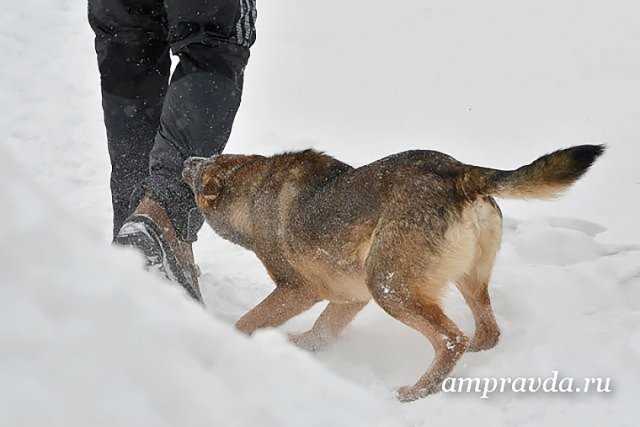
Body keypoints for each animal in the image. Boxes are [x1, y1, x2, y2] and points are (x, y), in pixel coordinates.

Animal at [181, 145, 604, 402]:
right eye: (209, 157)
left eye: (200, 174)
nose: (186, 160)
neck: (252, 193)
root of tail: (458, 172)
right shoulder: (349, 297)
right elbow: (320, 333)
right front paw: (293, 347)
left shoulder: (299, 289)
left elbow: (247, 322)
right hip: (463, 282)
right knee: (485, 332)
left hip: (388, 288)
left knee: (452, 339)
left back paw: (416, 393)